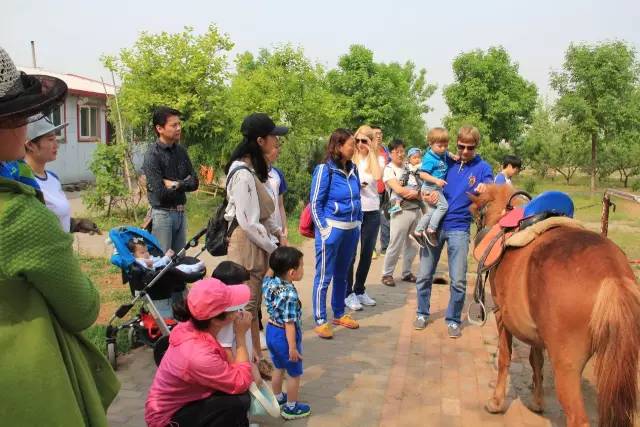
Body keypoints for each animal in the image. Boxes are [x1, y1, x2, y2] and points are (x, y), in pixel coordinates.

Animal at [464, 186, 640, 427]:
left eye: (476, 213)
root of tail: (612, 274)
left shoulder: (502, 315)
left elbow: (504, 358)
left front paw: (496, 403)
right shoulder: (537, 332)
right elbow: (536, 361)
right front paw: (538, 402)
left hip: (566, 366)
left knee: (577, 418)